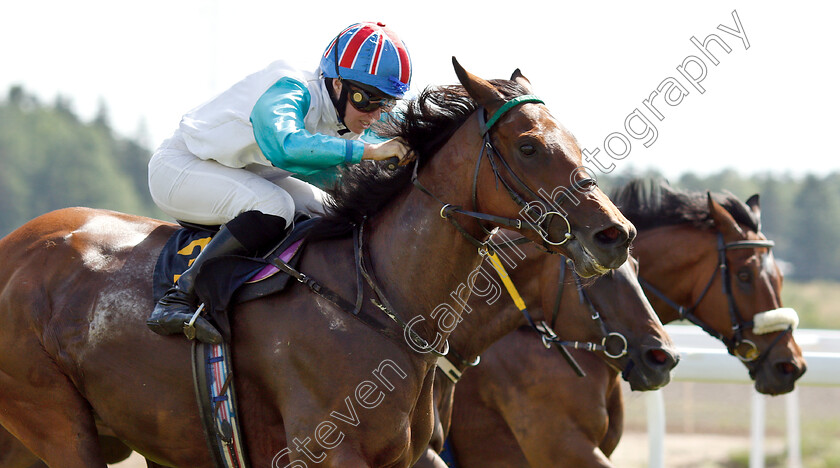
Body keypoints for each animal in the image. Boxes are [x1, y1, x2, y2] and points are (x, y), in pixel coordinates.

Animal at [0, 61, 632, 468]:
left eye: (573, 140)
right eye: (529, 146)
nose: (615, 235)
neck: (379, 299)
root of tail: (15, 248)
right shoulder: (328, 448)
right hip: (55, 423)